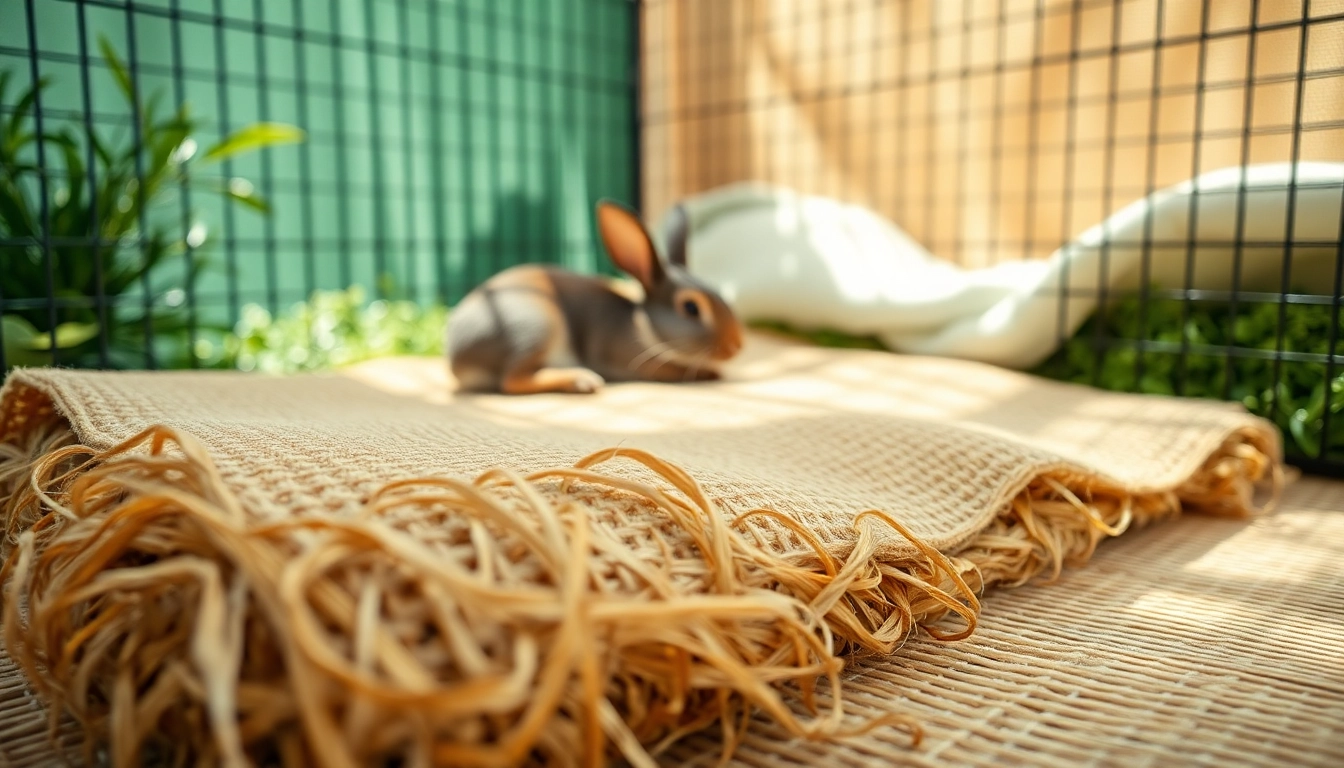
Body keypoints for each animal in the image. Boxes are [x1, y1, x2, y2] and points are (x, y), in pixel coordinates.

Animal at [447, 198, 744, 394]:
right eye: (691, 308)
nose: (736, 346)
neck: (642, 325)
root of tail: (457, 356)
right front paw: (711, 372)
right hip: (535, 327)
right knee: (512, 381)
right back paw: (581, 380)